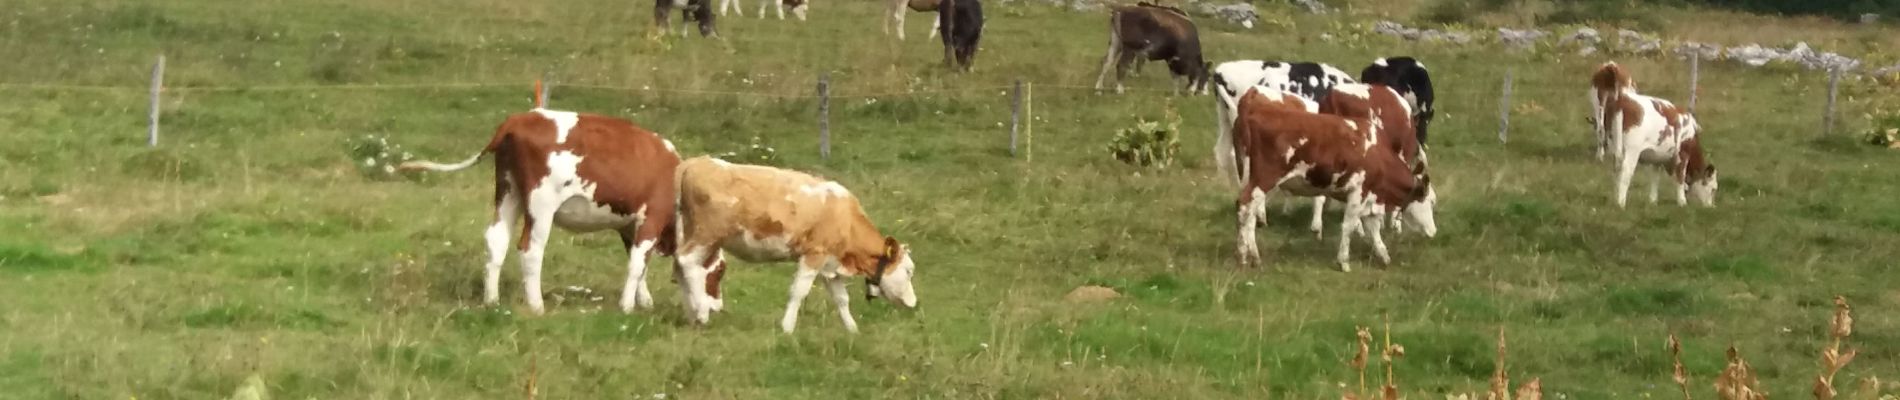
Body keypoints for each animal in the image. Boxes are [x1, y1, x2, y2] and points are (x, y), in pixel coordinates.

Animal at [397, 107, 680, 314]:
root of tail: (518, 120)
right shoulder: (652, 218)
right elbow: (637, 264)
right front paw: (628, 306)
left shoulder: (630, 226)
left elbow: (640, 264)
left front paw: (644, 300)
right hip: (541, 205)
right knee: (530, 250)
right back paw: (536, 305)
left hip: (508, 191)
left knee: (496, 240)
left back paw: (492, 300)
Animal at [676, 157, 919, 333]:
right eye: (908, 271)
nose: (913, 303)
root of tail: (696, 161)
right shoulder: (814, 255)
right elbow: (798, 292)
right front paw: (787, 328)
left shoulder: (830, 263)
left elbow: (842, 299)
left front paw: (852, 329)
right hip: (707, 234)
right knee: (687, 262)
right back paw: (701, 312)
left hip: (691, 232)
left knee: (680, 266)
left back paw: (691, 314)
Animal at [1231, 85, 1436, 271]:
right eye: (1431, 202)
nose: (1433, 232)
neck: (1378, 153)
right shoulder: (1358, 192)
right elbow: (1349, 226)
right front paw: (1343, 261)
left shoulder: (1371, 196)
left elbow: (1373, 227)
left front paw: (1383, 255)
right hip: (1265, 179)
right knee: (1245, 207)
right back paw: (1242, 255)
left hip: (1251, 179)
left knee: (1250, 214)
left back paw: (1254, 255)